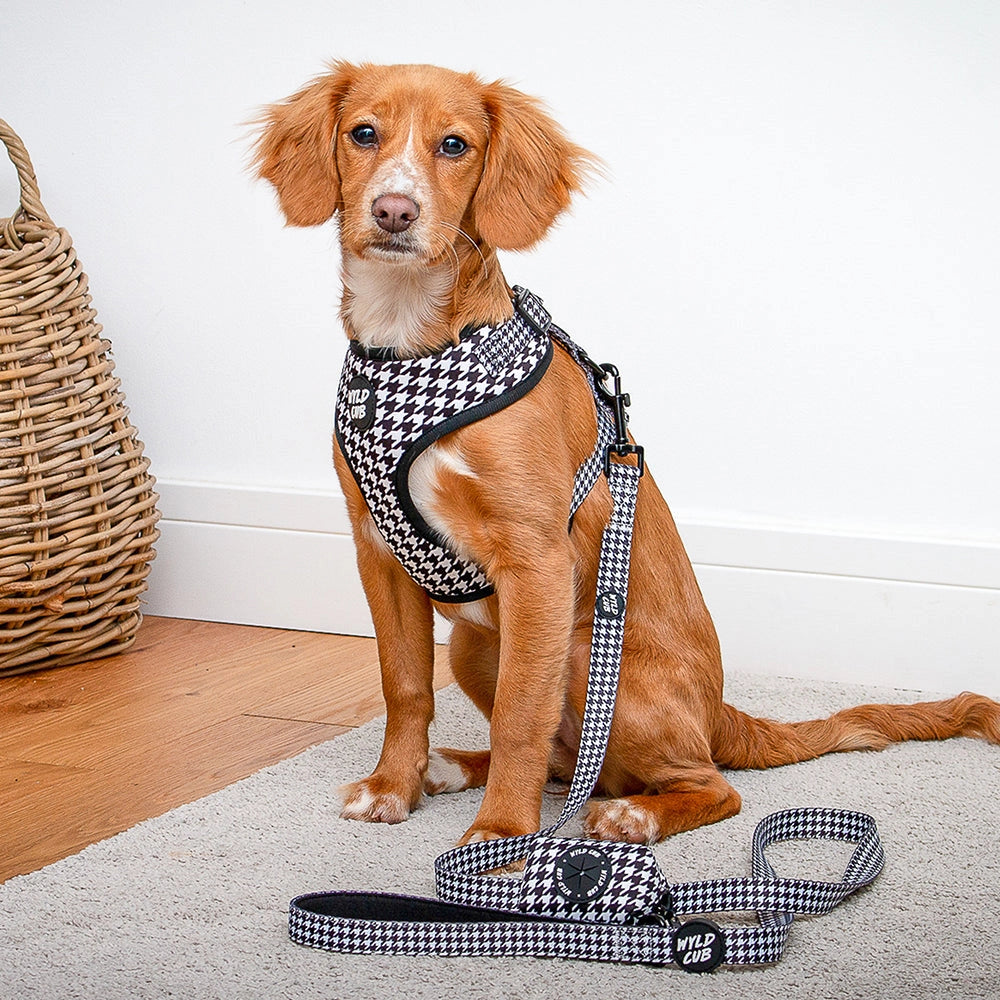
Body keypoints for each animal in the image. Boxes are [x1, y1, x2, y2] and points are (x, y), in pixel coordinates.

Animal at [252, 62, 1000, 844]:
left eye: (454, 145)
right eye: (363, 133)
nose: (394, 211)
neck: (413, 345)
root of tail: (718, 715)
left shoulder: (538, 561)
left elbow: (522, 712)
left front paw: (502, 837)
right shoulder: (377, 552)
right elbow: (404, 687)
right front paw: (393, 787)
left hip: (587, 652)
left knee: (704, 785)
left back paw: (633, 814)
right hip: (476, 645)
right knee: (565, 760)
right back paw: (454, 768)